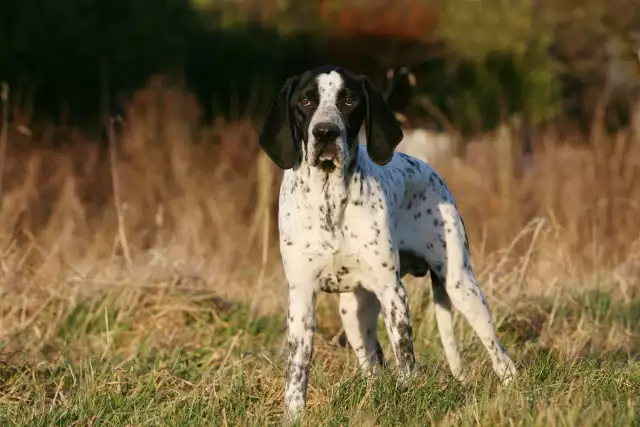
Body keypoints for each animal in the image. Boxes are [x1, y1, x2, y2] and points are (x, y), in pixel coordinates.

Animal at [258, 65, 516, 422]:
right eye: (305, 101)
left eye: (349, 100)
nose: (325, 133)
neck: (329, 200)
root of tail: (428, 167)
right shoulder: (301, 297)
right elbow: (297, 369)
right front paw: (293, 415)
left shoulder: (393, 292)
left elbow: (405, 357)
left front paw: (408, 401)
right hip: (353, 313)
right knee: (374, 369)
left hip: (462, 288)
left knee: (501, 357)